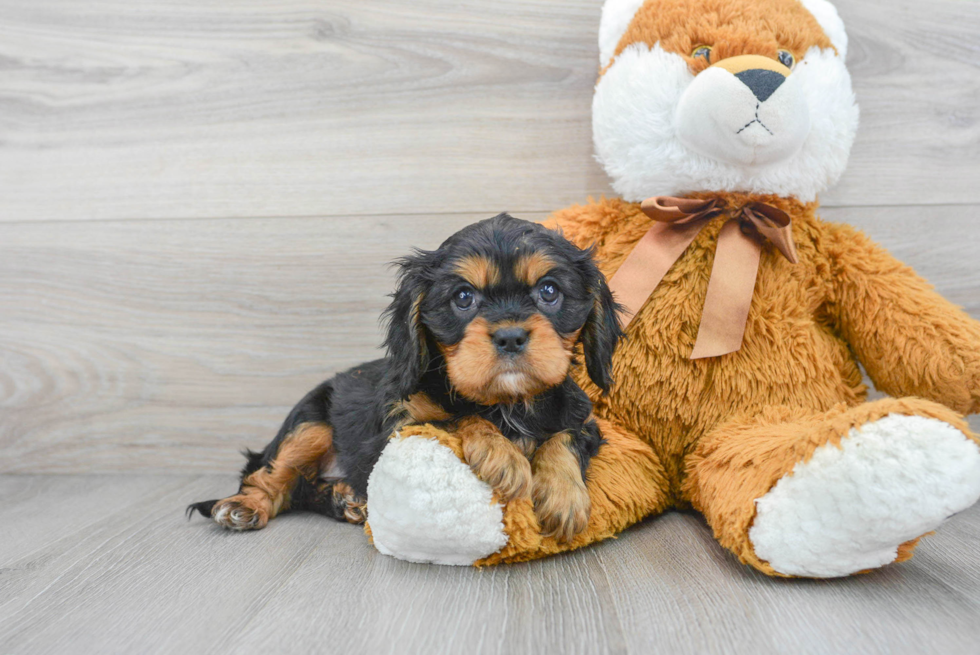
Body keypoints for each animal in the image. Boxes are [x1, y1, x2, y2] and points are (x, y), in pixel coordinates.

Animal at [188, 214, 624, 544]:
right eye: (463, 297)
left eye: (549, 291)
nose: (511, 336)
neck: (506, 403)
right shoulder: (403, 425)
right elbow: (457, 418)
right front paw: (504, 457)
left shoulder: (584, 419)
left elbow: (563, 438)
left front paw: (563, 496)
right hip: (308, 423)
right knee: (269, 476)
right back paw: (243, 507)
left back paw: (346, 499)